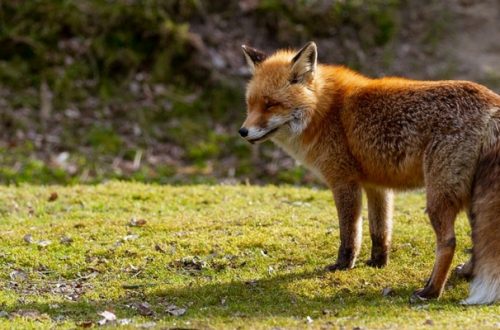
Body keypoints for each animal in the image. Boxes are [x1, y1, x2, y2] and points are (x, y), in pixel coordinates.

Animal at [237, 42, 500, 306]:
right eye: (250, 104)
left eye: (270, 104)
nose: (242, 131)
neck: (324, 110)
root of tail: (491, 102)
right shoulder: (376, 185)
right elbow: (380, 230)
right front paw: (378, 262)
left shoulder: (344, 181)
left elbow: (350, 233)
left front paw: (343, 265)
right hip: (472, 197)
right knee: (477, 239)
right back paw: (466, 272)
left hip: (438, 197)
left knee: (449, 242)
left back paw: (431, 291)